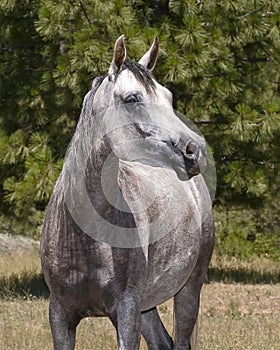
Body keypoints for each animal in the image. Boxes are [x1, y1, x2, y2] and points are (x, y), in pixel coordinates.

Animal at [40, 34, 213, 348]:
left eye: (168, 97)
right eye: (132, 98)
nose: (194, 151)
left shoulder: (127, 311)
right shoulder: (59, 314)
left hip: (188, 290)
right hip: (147, 306)